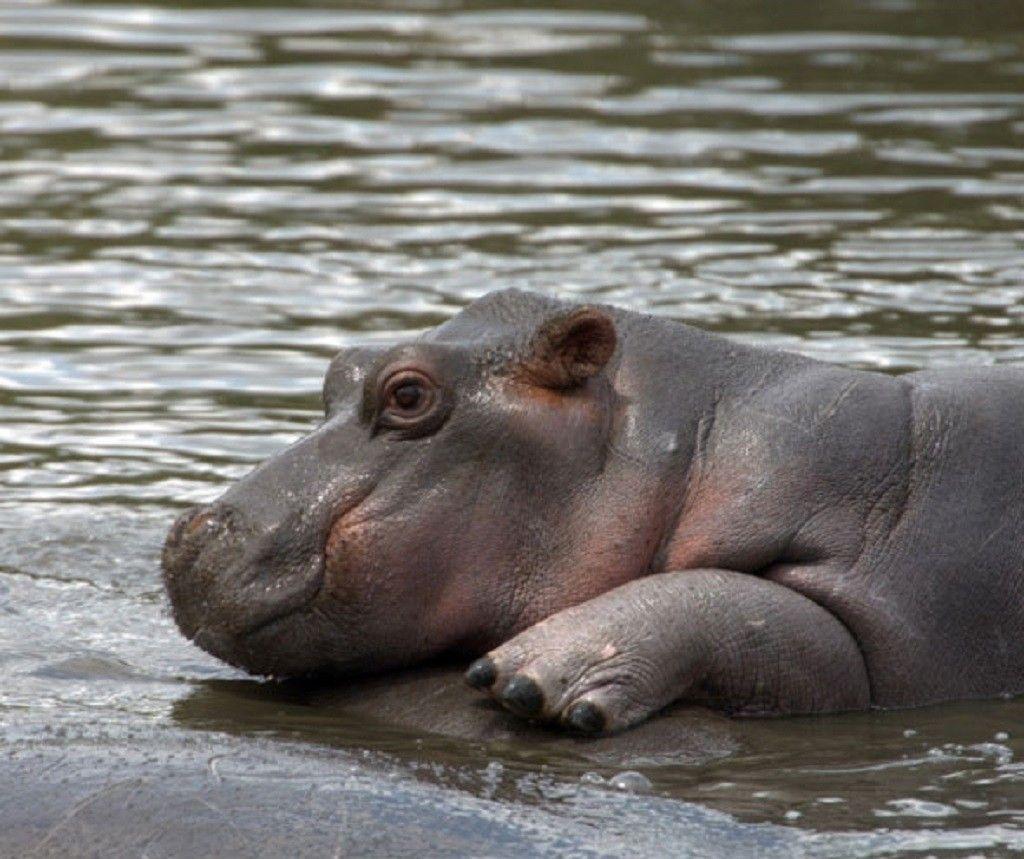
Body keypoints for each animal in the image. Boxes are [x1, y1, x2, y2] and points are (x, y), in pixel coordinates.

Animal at [163, 288, 1024, 735]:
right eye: (339, 369)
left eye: (407, 393)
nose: (195, 533)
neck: (704, 440)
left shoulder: (895, 618)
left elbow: (759, 614)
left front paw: (531, 676)